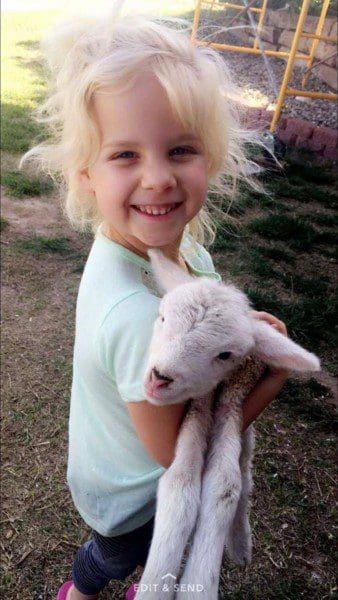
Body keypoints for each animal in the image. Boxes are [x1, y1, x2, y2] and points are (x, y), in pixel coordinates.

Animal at [135, 248, 320, 600]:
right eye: (162, 317)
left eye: (225, 355)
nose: (159, 378)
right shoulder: (200, 405)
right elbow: (180, 484)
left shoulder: (233, 398)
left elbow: (225, 484)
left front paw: (198, 583)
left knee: (245, 475)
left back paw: (240, 545)